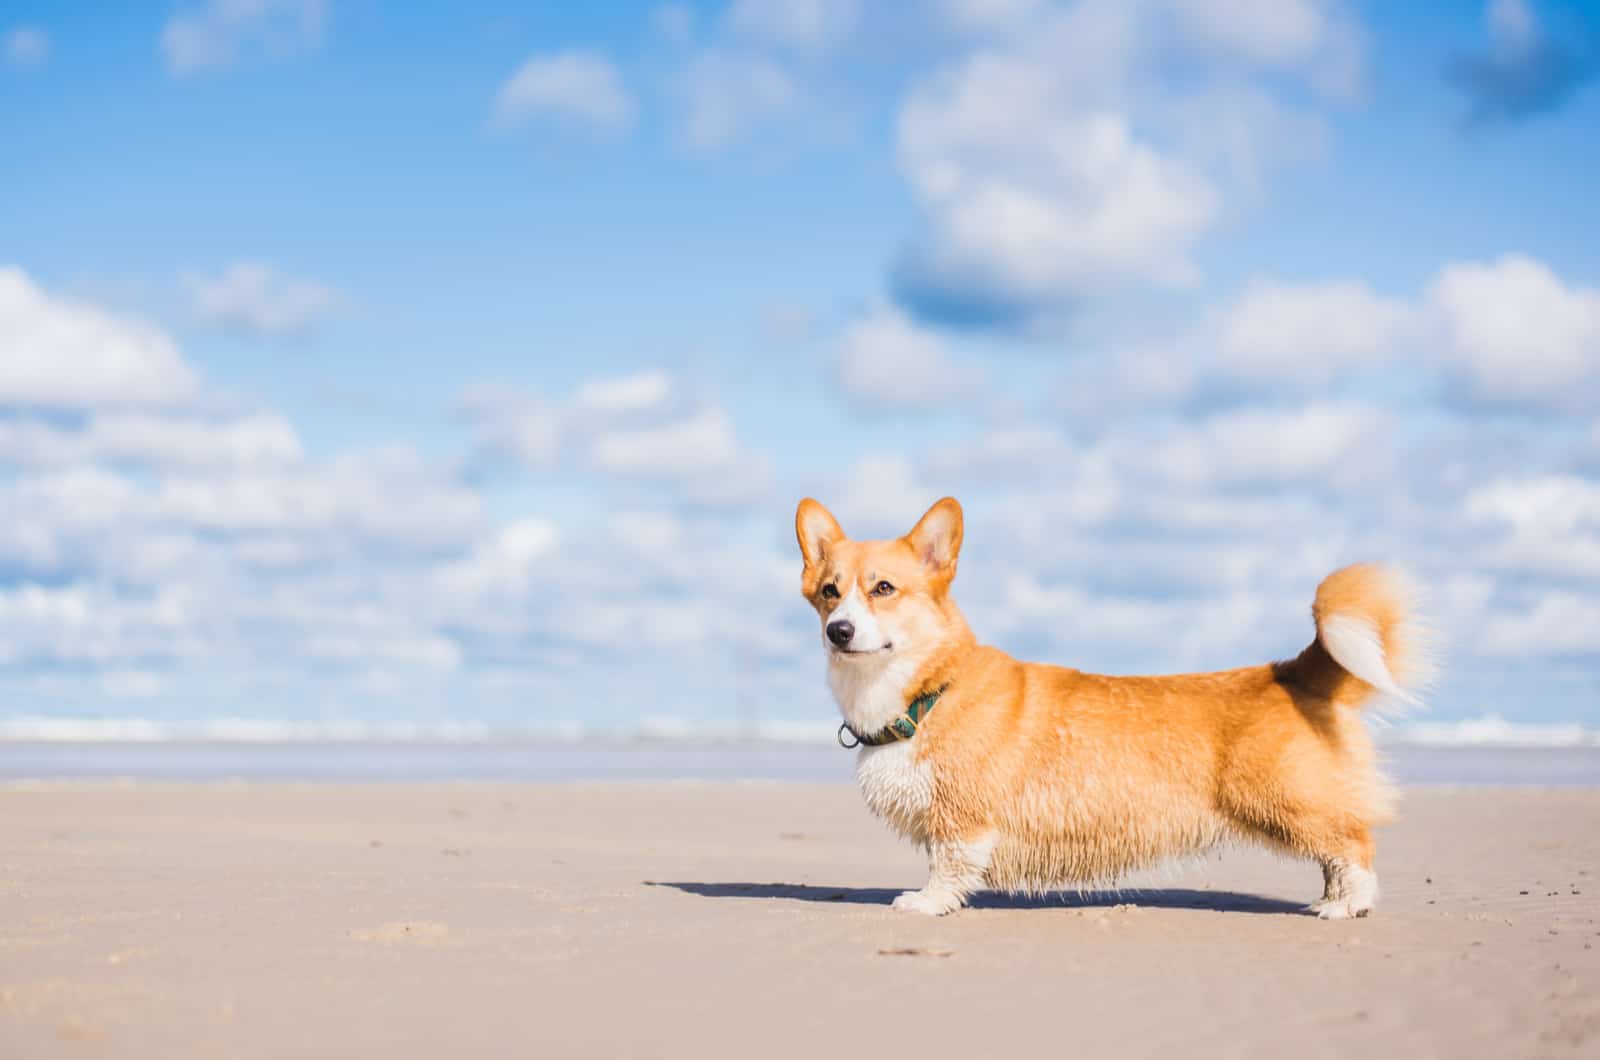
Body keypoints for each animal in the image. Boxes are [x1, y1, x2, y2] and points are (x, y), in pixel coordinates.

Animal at [793, 499, 1433, 922]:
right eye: (829, 591)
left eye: (883, 588)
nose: (838, 631)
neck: (928, 692)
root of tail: (1295, 669)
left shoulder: (962, 818)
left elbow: (948, 865)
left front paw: (925, 903)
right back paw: (1329, 899)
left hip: (1288, 801)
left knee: (1354, 846)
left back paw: (1346, 907)